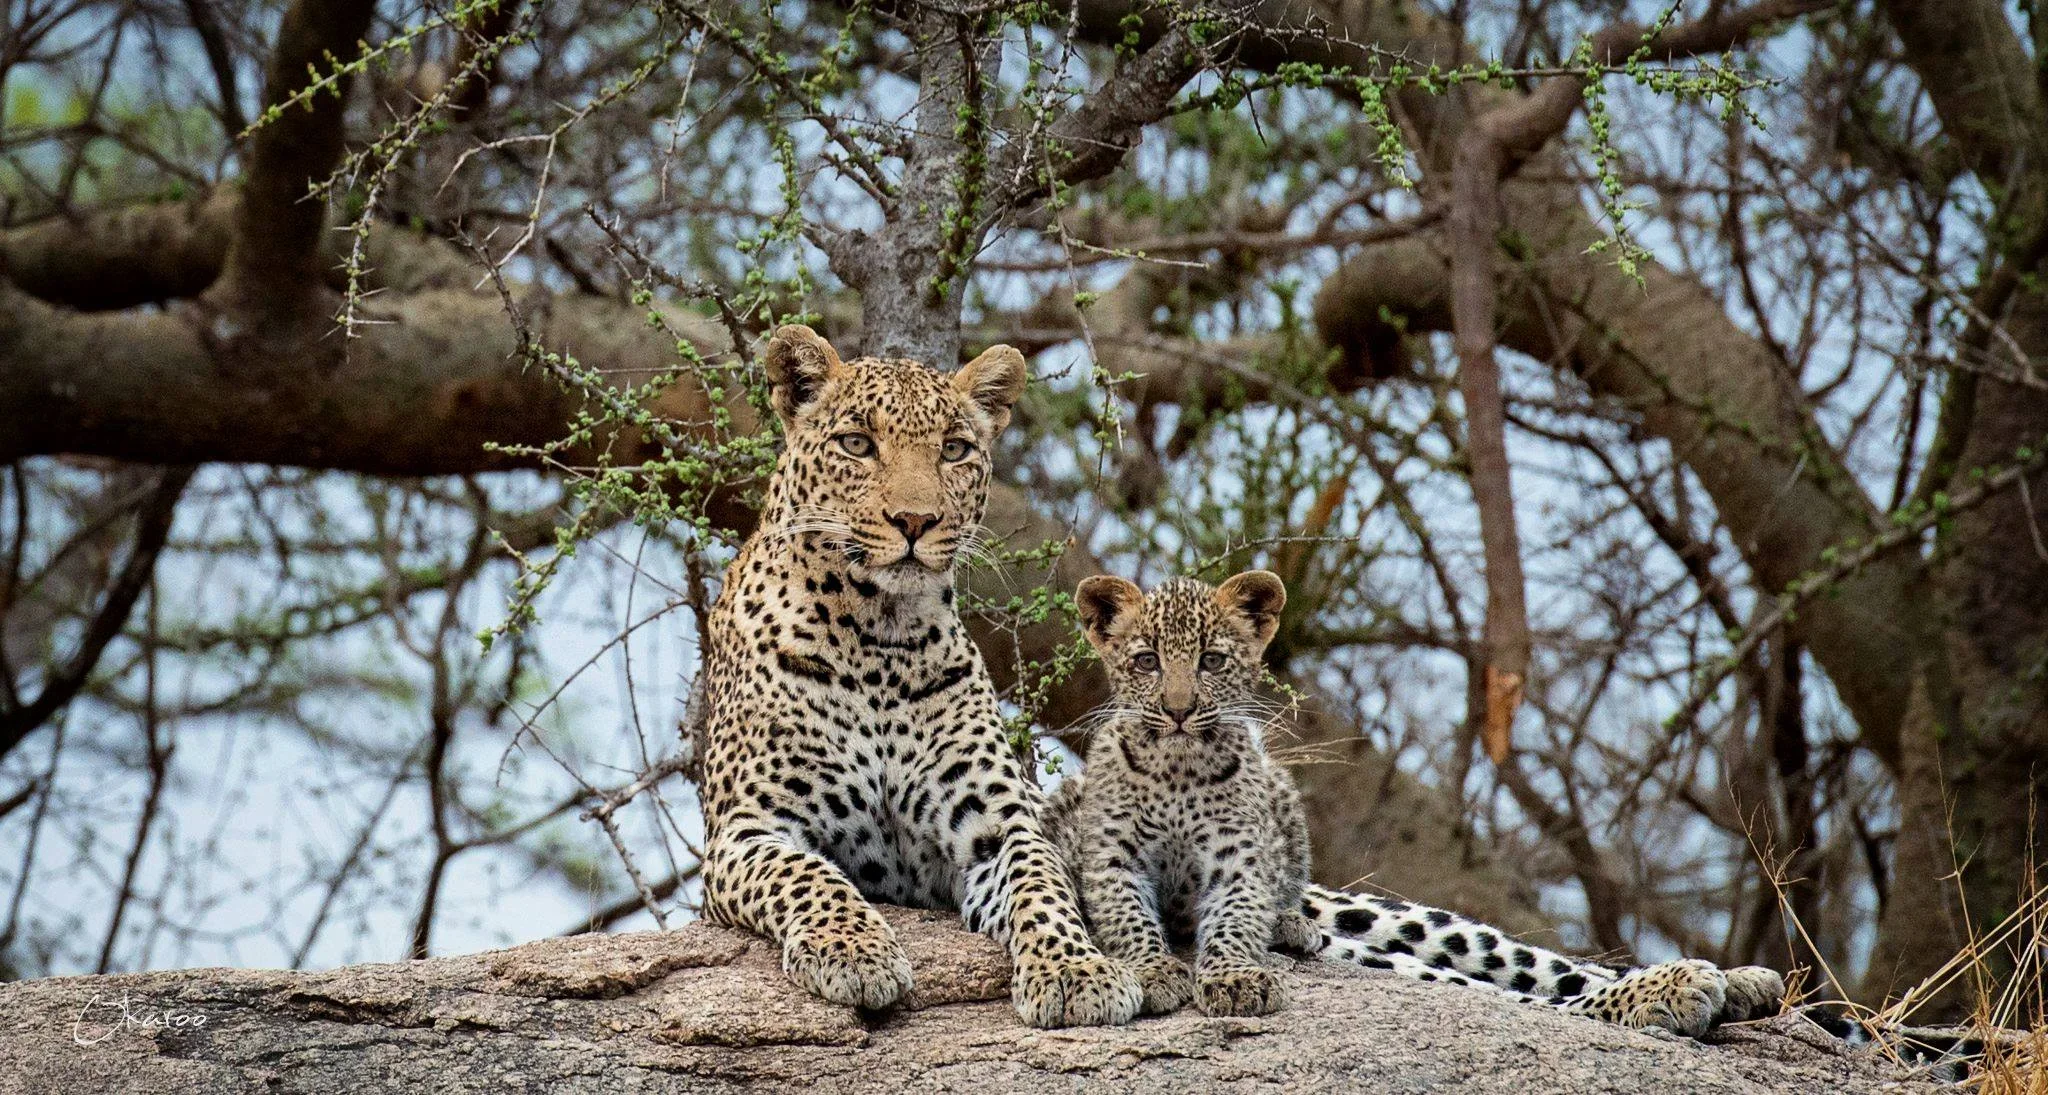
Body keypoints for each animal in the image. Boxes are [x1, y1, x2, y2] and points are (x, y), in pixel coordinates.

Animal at [694, 324, 1142, 1029]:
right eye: (857, 444)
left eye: (954, 450)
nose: (915, 521)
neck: (879, 638)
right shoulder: (747, 829)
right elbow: (806, 875)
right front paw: (853, 950)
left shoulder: (1000, 824)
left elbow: (1040, 885)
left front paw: (1075, 971)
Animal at [1045, 569, 1788, 1037]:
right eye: (1145, 661)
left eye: (1211, 661)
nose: (1177, 709)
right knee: (1516, 989)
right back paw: (1693, 990)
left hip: (1392, 915)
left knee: (1544, 970)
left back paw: (1739, 982)